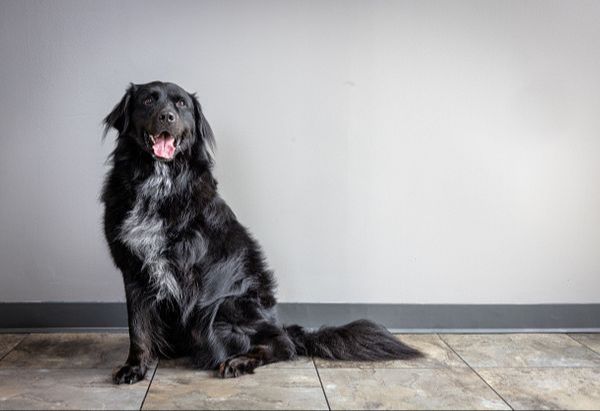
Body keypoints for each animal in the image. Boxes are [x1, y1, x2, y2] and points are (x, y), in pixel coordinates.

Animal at [102, 82, 422, 384]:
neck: (159, 185)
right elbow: (137, 328)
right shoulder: (133, 269)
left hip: (227, 305)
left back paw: (239, 361)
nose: (167, 116)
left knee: (280, 343)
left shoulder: (189, 276)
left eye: (181, 104)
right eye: (148, 100)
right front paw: (135, 367)